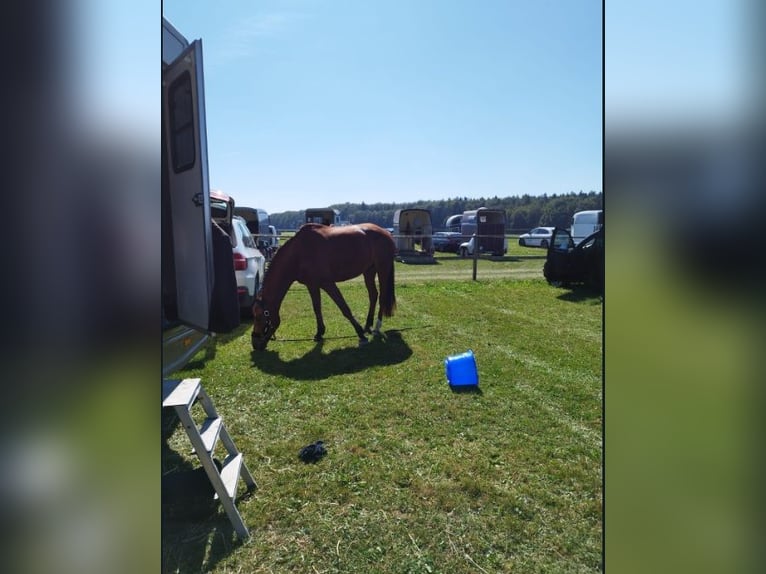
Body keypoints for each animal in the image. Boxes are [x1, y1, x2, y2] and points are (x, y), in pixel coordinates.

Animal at [252, 224, 400, 352]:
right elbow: (317, 308)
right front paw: (319, 333)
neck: (298, 253)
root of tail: (386, 233)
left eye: (259, 316)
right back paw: (367, 326)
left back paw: (376, 327)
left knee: (382, 297)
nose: (255, 343)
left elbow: (344, 308)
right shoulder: (312, 285)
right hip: (369, 271)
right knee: (373, 295)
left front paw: (360, 335)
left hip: (383, 269)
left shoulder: (328, 284)